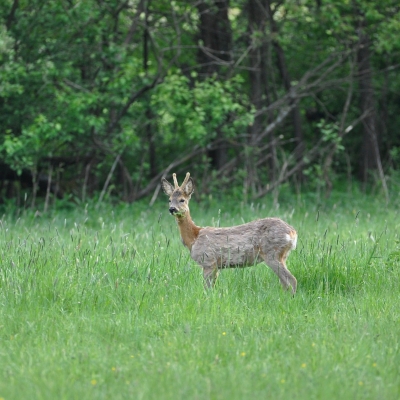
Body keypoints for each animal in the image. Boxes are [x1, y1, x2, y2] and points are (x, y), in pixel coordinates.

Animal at [160, 172, 296, 294]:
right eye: (169, 200)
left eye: (182, 200)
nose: (172, 209)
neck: (194, 237)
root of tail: (292, 233)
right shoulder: (215, 266)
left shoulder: (208, 261)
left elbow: (207, 289)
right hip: (282, 256)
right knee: (285, 283)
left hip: (272, 253)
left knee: (292, 280)